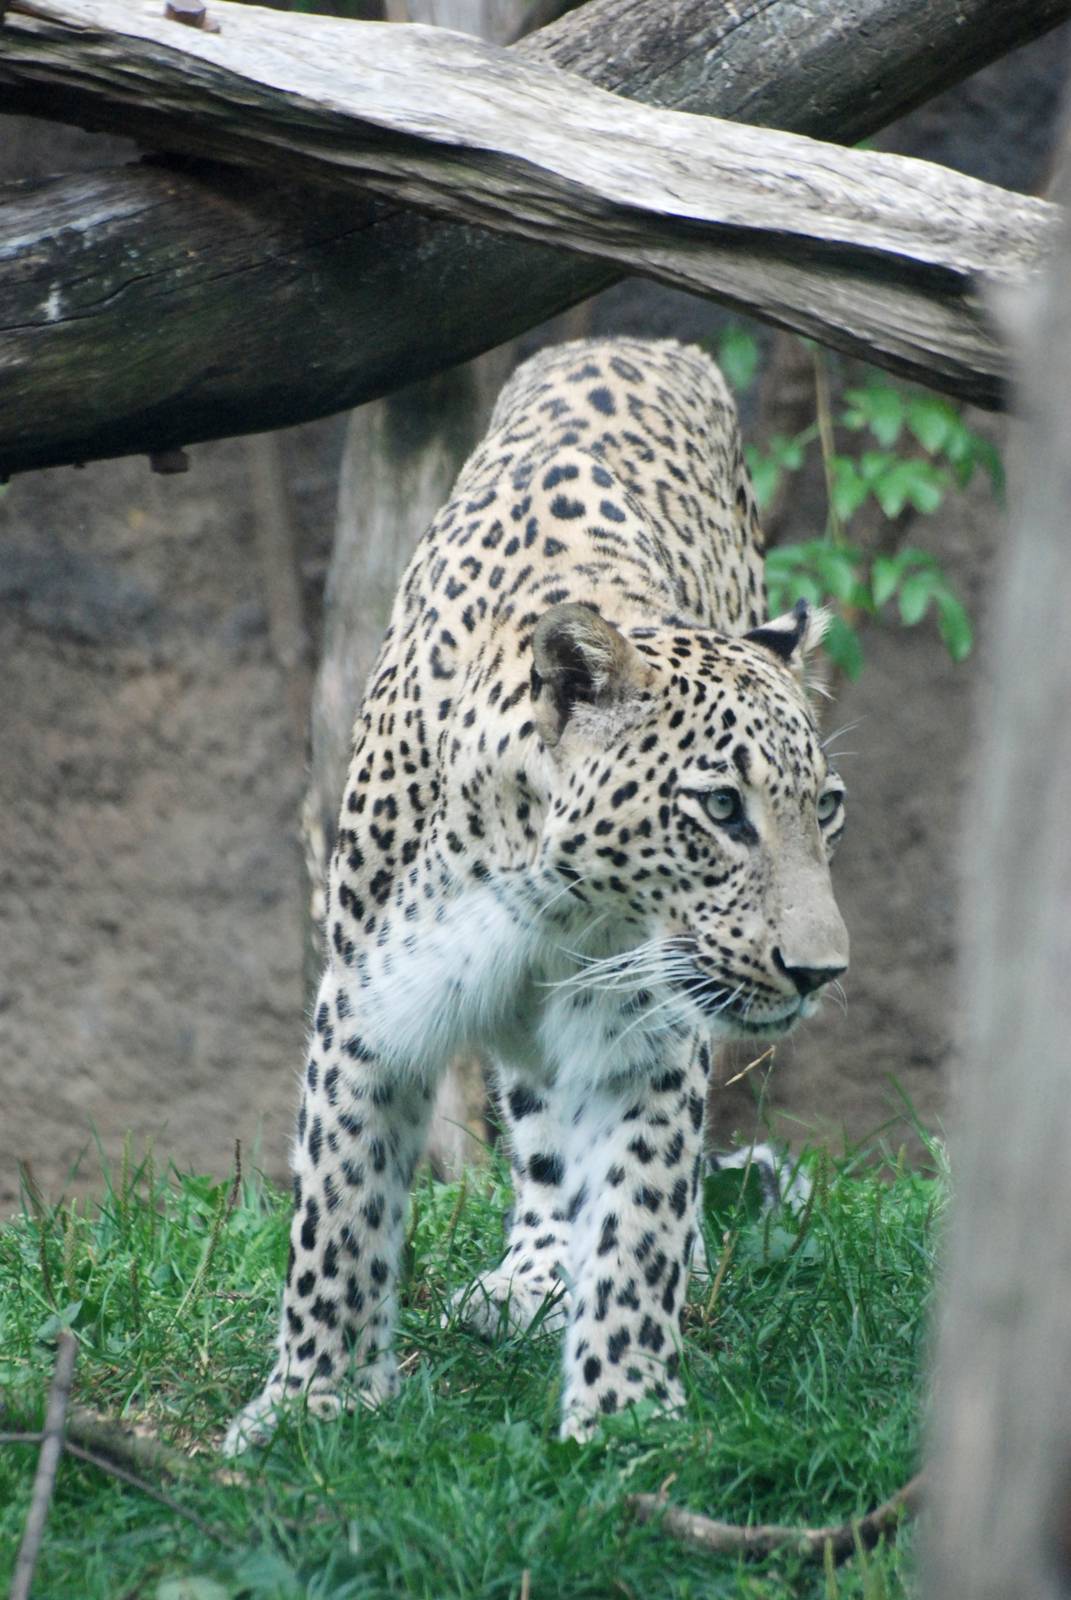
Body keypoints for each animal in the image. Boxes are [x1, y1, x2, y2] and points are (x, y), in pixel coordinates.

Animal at [224, 336, 848, 1453]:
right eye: (721, 807)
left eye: (824, 807)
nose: (820, 971)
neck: (553, 897)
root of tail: (638, 340)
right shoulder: (367, 998)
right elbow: (338, 1203)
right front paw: (311, 1399)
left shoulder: (651, 1034)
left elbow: (641, 1211)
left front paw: (628, 1407)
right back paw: (533, 1271)